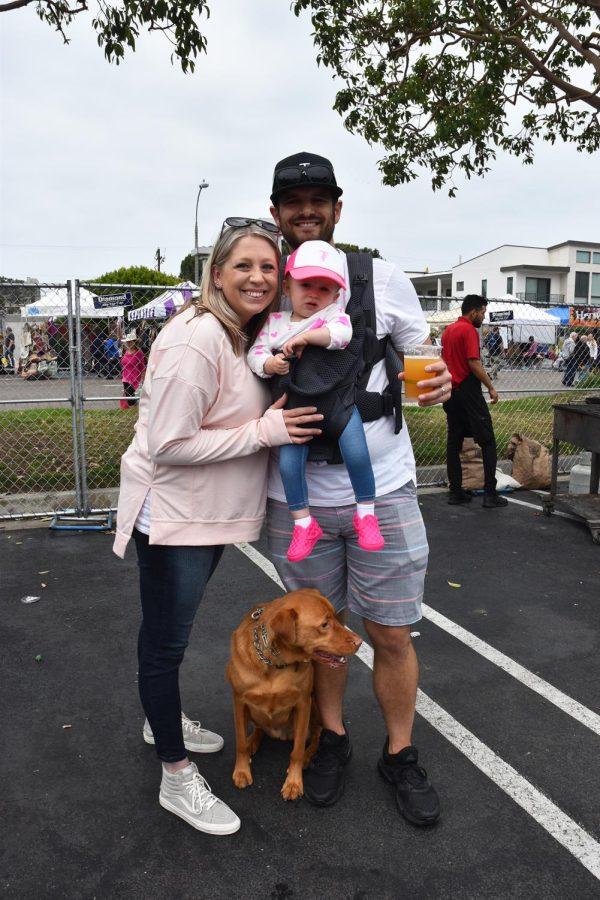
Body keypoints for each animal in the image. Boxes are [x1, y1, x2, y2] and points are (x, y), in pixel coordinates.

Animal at [226, 592, 360, 800]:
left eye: (335, 618)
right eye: (324, 624)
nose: (359, 641)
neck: (275, 662)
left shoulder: (303, 703)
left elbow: (296, 750)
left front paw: (294, 783)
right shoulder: (239, 701)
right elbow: (240, 742)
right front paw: (241, 770)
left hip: (314, 707)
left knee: (316, 734)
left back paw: (307, 756)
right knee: (259, 729)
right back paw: (252, 742)